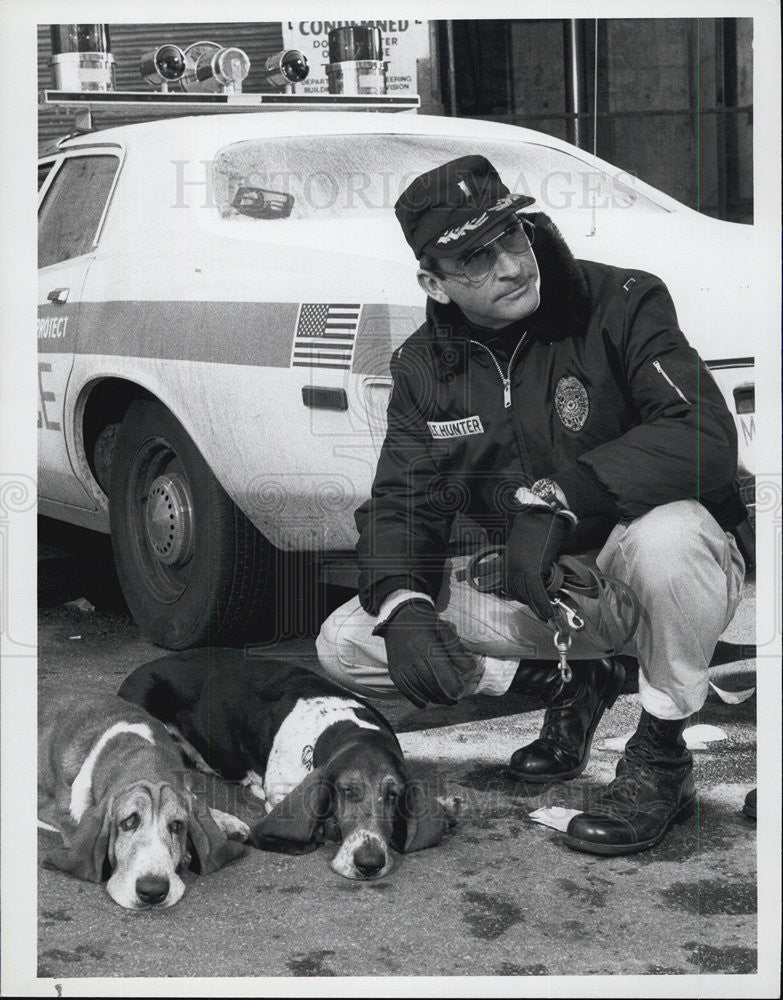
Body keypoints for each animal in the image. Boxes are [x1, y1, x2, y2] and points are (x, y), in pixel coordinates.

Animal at [36, 692, 243, 912]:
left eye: (176, 825)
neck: (142, 756)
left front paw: (226, 822)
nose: (153, 890)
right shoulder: (54, 810)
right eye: (129, 822)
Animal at [117, 648, 460, 876]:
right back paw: (228, 825)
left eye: (393, 795)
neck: (343, 725)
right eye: (347, 791)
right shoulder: (279, 793)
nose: (369, 863)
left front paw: (446, 805)